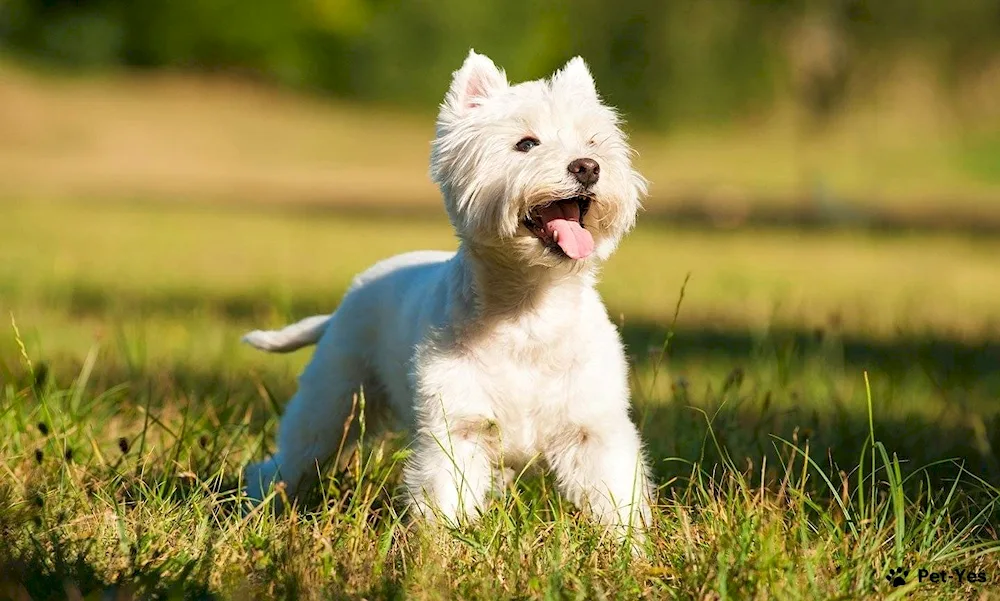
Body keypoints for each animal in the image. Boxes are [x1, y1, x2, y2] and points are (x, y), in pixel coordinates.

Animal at [239, 50, 652, 540]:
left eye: (594, 140)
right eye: (526, 143)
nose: (587, 166)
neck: (529, 310)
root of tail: (345, 302)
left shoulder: (593, 430)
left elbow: (616, 499)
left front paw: (629, 549)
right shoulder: (456, 430)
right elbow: (446, 501)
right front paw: (443, 549)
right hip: (333, 402)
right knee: (289, 459)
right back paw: (259, 505)